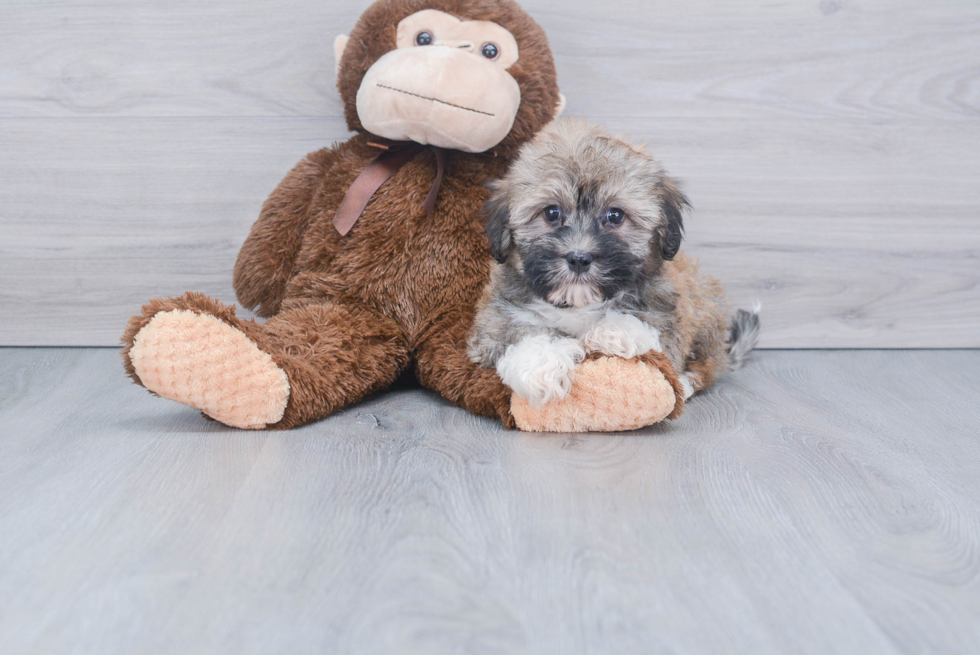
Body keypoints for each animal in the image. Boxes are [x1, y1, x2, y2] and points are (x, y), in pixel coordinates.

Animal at [470, 119, 760, 410]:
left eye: (615, 215)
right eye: (551, 212)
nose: (579, 258)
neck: (579, 303)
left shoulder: (668, 312)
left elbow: (646, 322)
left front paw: (610, 332)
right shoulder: (497, 315)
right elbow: (517, 332)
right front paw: (544, 368)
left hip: (706, 311)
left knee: (707, 367)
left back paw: (686, 383)